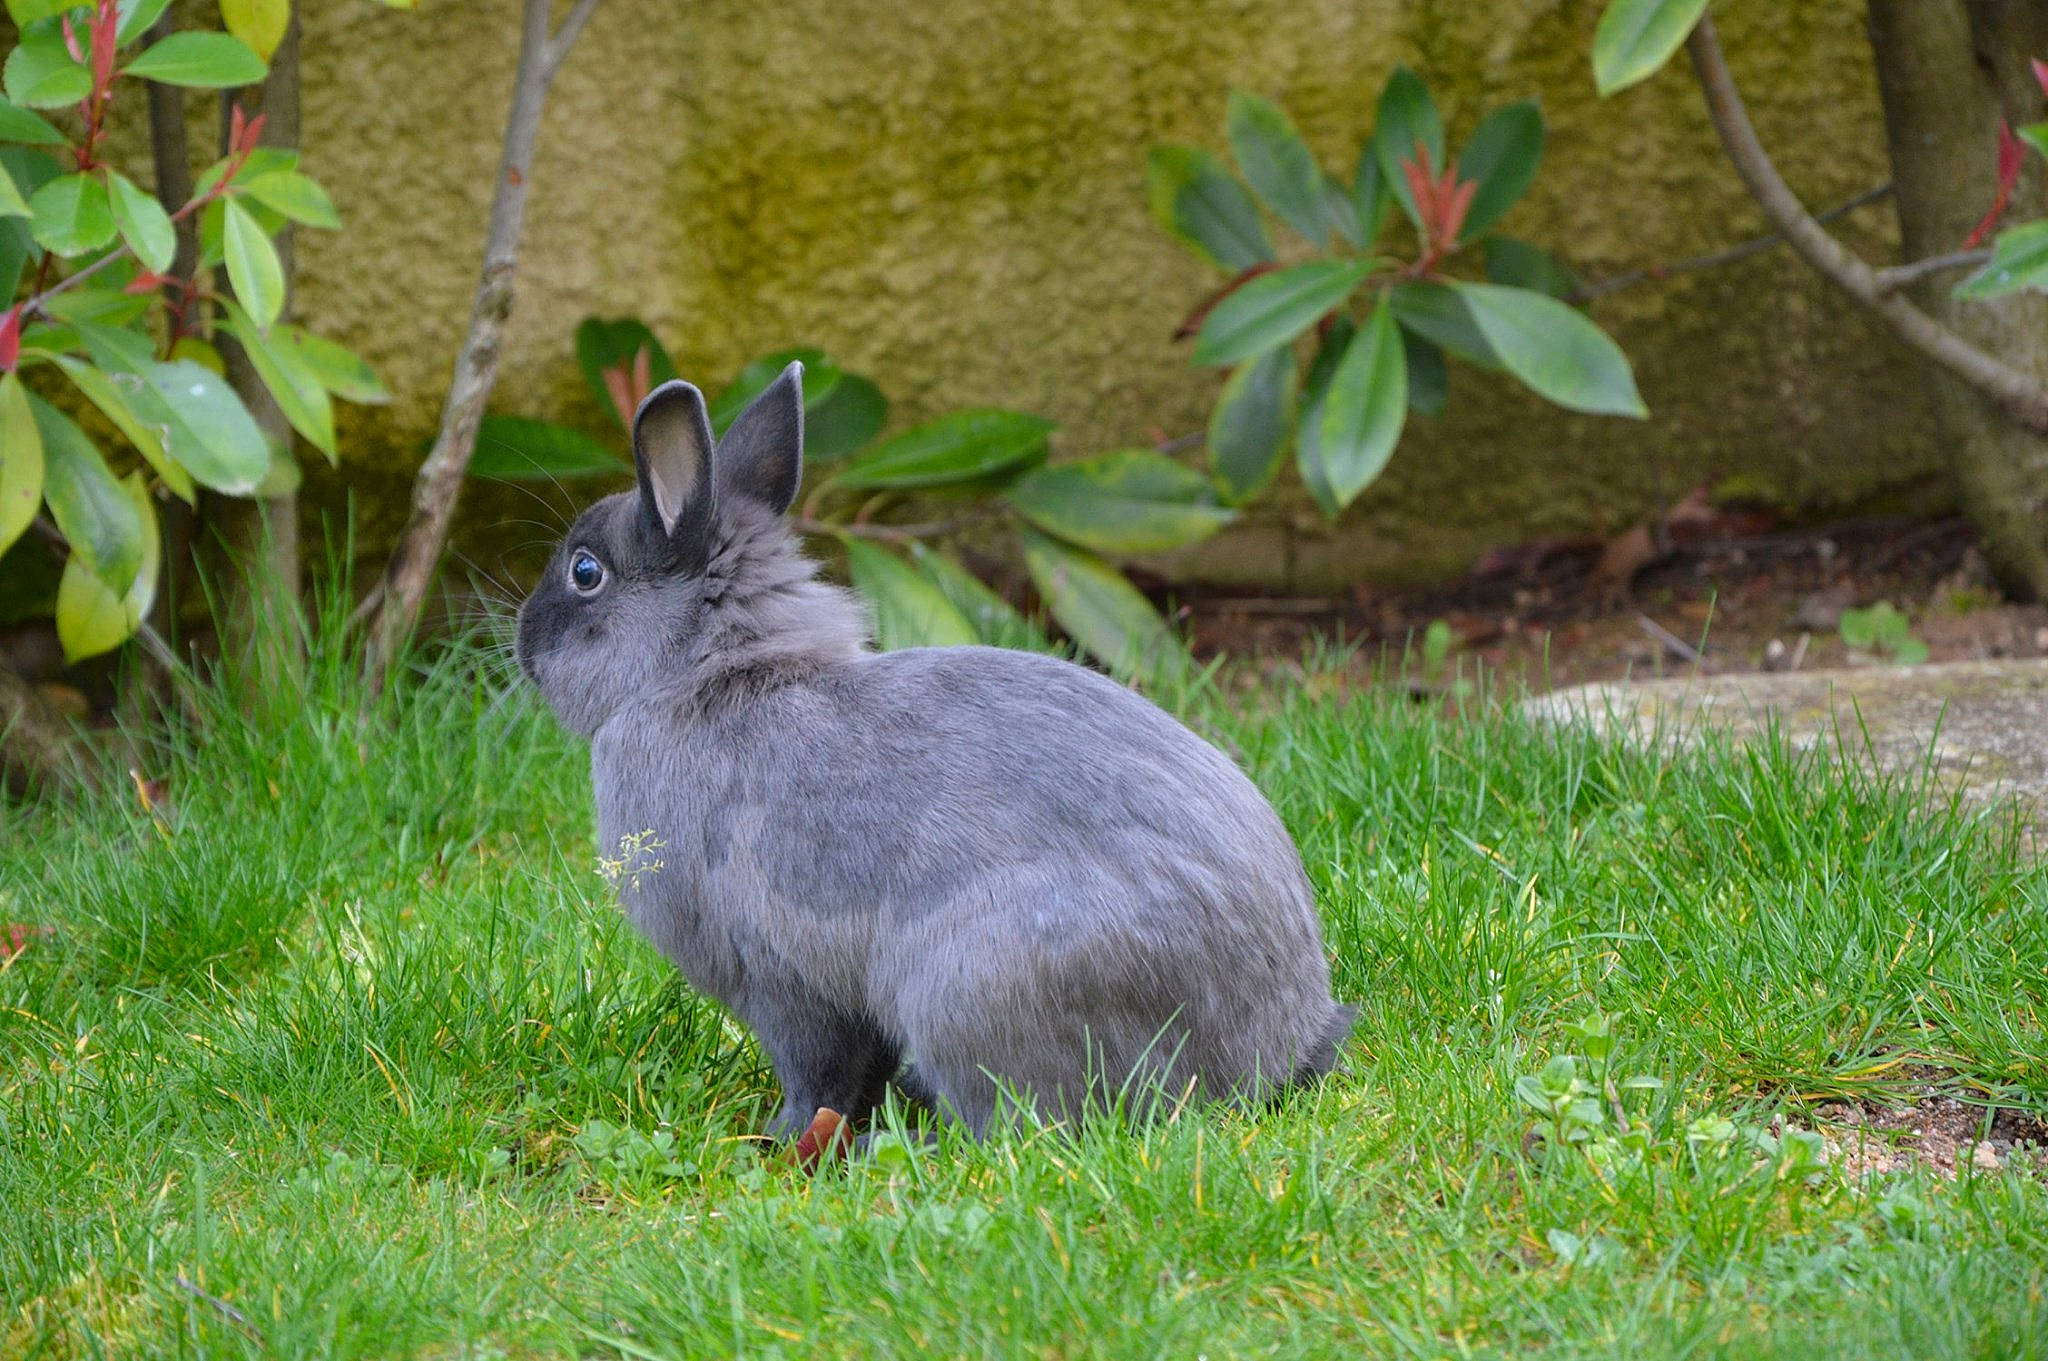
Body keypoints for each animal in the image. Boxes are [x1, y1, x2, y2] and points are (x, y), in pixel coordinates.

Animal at [516, 362, 1353, 1140]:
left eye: (585, 572)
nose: (522, 644)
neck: (711, 673)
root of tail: (1271, 1047)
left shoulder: (781, 982)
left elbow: (815, 1071)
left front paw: (779, 1138)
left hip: (967, 986)